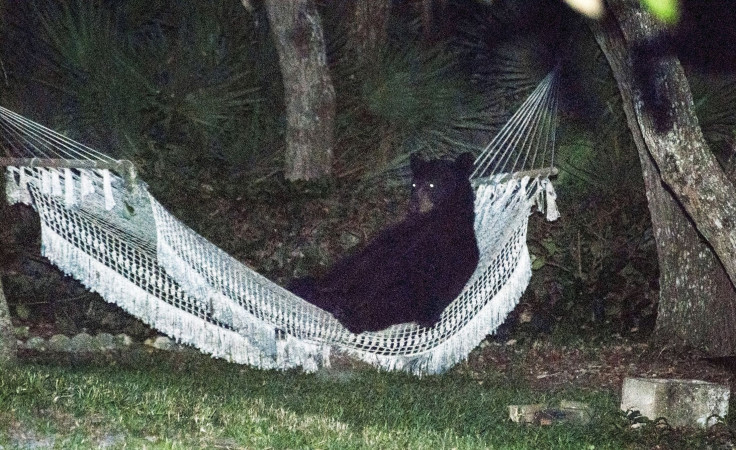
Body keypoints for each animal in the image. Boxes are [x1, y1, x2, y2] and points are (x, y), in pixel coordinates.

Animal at [290, 153, 480, 332]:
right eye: (414, 185)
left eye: (432, 184)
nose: (413, 206)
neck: (438, 217)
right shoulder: (398, 238)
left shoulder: (432, 245)